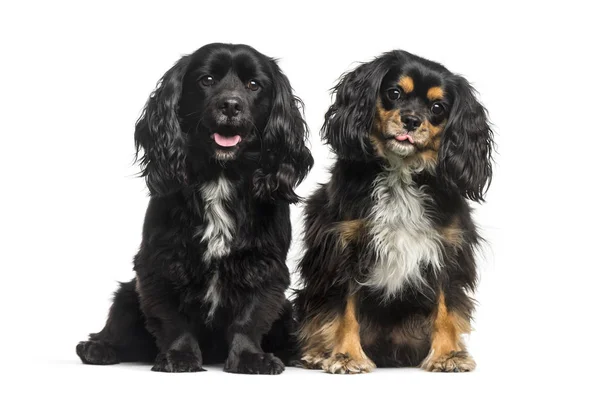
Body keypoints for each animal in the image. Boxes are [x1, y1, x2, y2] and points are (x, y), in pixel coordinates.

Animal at [76, 44, 314, 374]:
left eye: (254, 85)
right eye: (207, 80)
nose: (230, 105)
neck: (221, 176)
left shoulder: (263, 265)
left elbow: (249, 317)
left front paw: (251, 358)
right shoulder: (163, 261)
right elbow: (174, 318)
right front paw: (179, 356)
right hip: (127, 293)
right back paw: (98, 347)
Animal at [294, 51, 492, 372]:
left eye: (437, 107)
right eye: (394, 93)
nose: (411, 120)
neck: (401, 173)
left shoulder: (447, 249)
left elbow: (446, 308)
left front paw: (448, 355)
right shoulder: (343, 248)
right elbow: (345, 309)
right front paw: (346, 355)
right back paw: (316, 353)